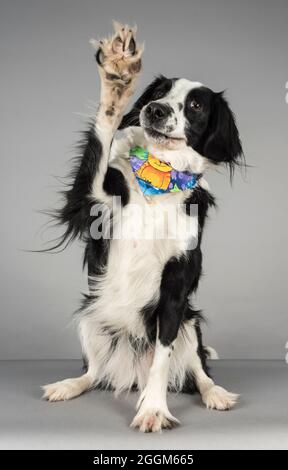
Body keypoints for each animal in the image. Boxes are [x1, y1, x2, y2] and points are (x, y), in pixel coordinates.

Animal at [41, 23, 242, 434]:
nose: (155, 109)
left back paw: (215, 394)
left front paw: (153, 409)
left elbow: (162, 360)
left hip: (191, 324)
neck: (160, 176)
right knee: (94, 372)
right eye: (158, 93)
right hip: (91, 316)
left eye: (195, 105)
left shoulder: (176, 285)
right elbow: (102, 135)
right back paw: (68, 385)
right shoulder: (91, 201)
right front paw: (116, 82)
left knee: (198, 370)